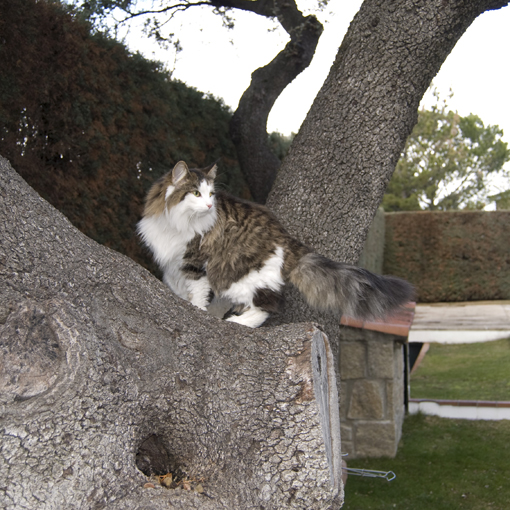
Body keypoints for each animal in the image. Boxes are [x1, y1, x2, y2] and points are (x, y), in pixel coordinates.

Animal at [138, 161, 414, 328]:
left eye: (210, 195)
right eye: (196, 193)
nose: (208, 205)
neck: (173, 221)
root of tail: (287, 238)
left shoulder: (195, 262)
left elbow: (197, 293)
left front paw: (196, 310)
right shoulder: (172, 265)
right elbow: (177, 288)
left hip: (240, 277)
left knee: (269, 306)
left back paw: (238, 322)